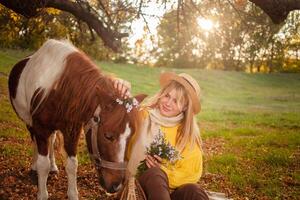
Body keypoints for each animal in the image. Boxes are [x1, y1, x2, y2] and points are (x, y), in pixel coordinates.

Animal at [7, 39, 145, 200]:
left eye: (131, 136)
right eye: (108, 136)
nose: (116, 185)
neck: (59, 89)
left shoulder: (72, 131)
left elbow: (72, 164)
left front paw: (72, 193)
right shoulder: (40, 127)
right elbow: (43, 164)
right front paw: (42, 192)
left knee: (51, 140)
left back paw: (53, 165)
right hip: (30, 124)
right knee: (35, 142)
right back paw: (35, 166)